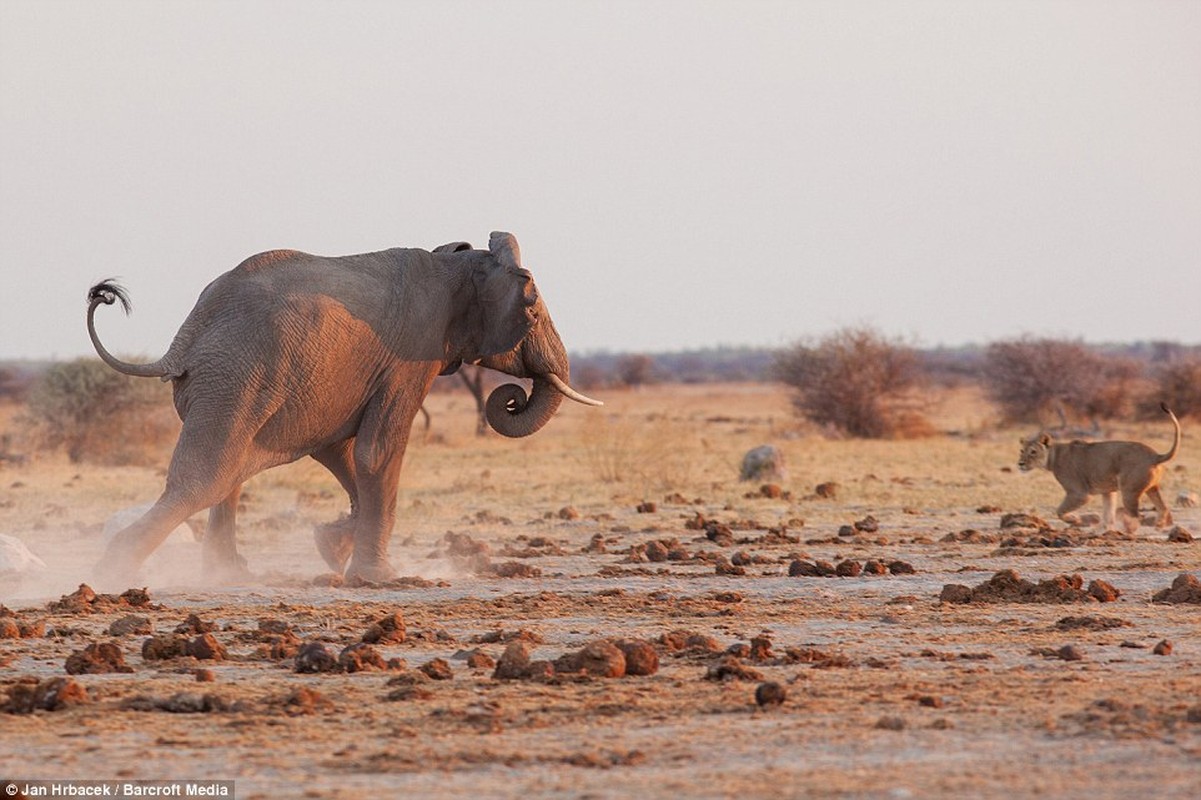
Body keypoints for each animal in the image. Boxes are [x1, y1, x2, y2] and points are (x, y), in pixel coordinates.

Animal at [84, 227, 600, 583]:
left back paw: (228, 576)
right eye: (532, 311)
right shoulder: (412, 357)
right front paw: (382, 580)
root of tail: (185, 338)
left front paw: (330, 549)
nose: (511, 398)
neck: (458, 263)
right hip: (236, 375)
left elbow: (341, 452)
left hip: (229, 381)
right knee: (206, 478)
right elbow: (378, 451)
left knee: (227, 475)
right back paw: (113, 572)